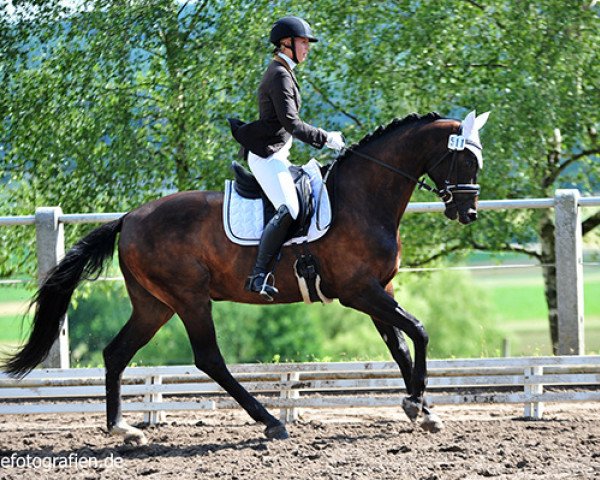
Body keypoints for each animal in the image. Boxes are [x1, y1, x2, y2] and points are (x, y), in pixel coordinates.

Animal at [3, 110, 488, 444]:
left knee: (117, 353)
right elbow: (419, 331)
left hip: (154, 304)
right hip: (189, 298)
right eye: (466, 162)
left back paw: (123, 429)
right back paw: (270, 422)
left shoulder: (377, 289)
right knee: (208, 359)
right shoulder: (359, 291)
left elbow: (400, 345)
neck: (363, 198)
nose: (468, 213)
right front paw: (417, 403)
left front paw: (422, 410)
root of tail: (130, 217)